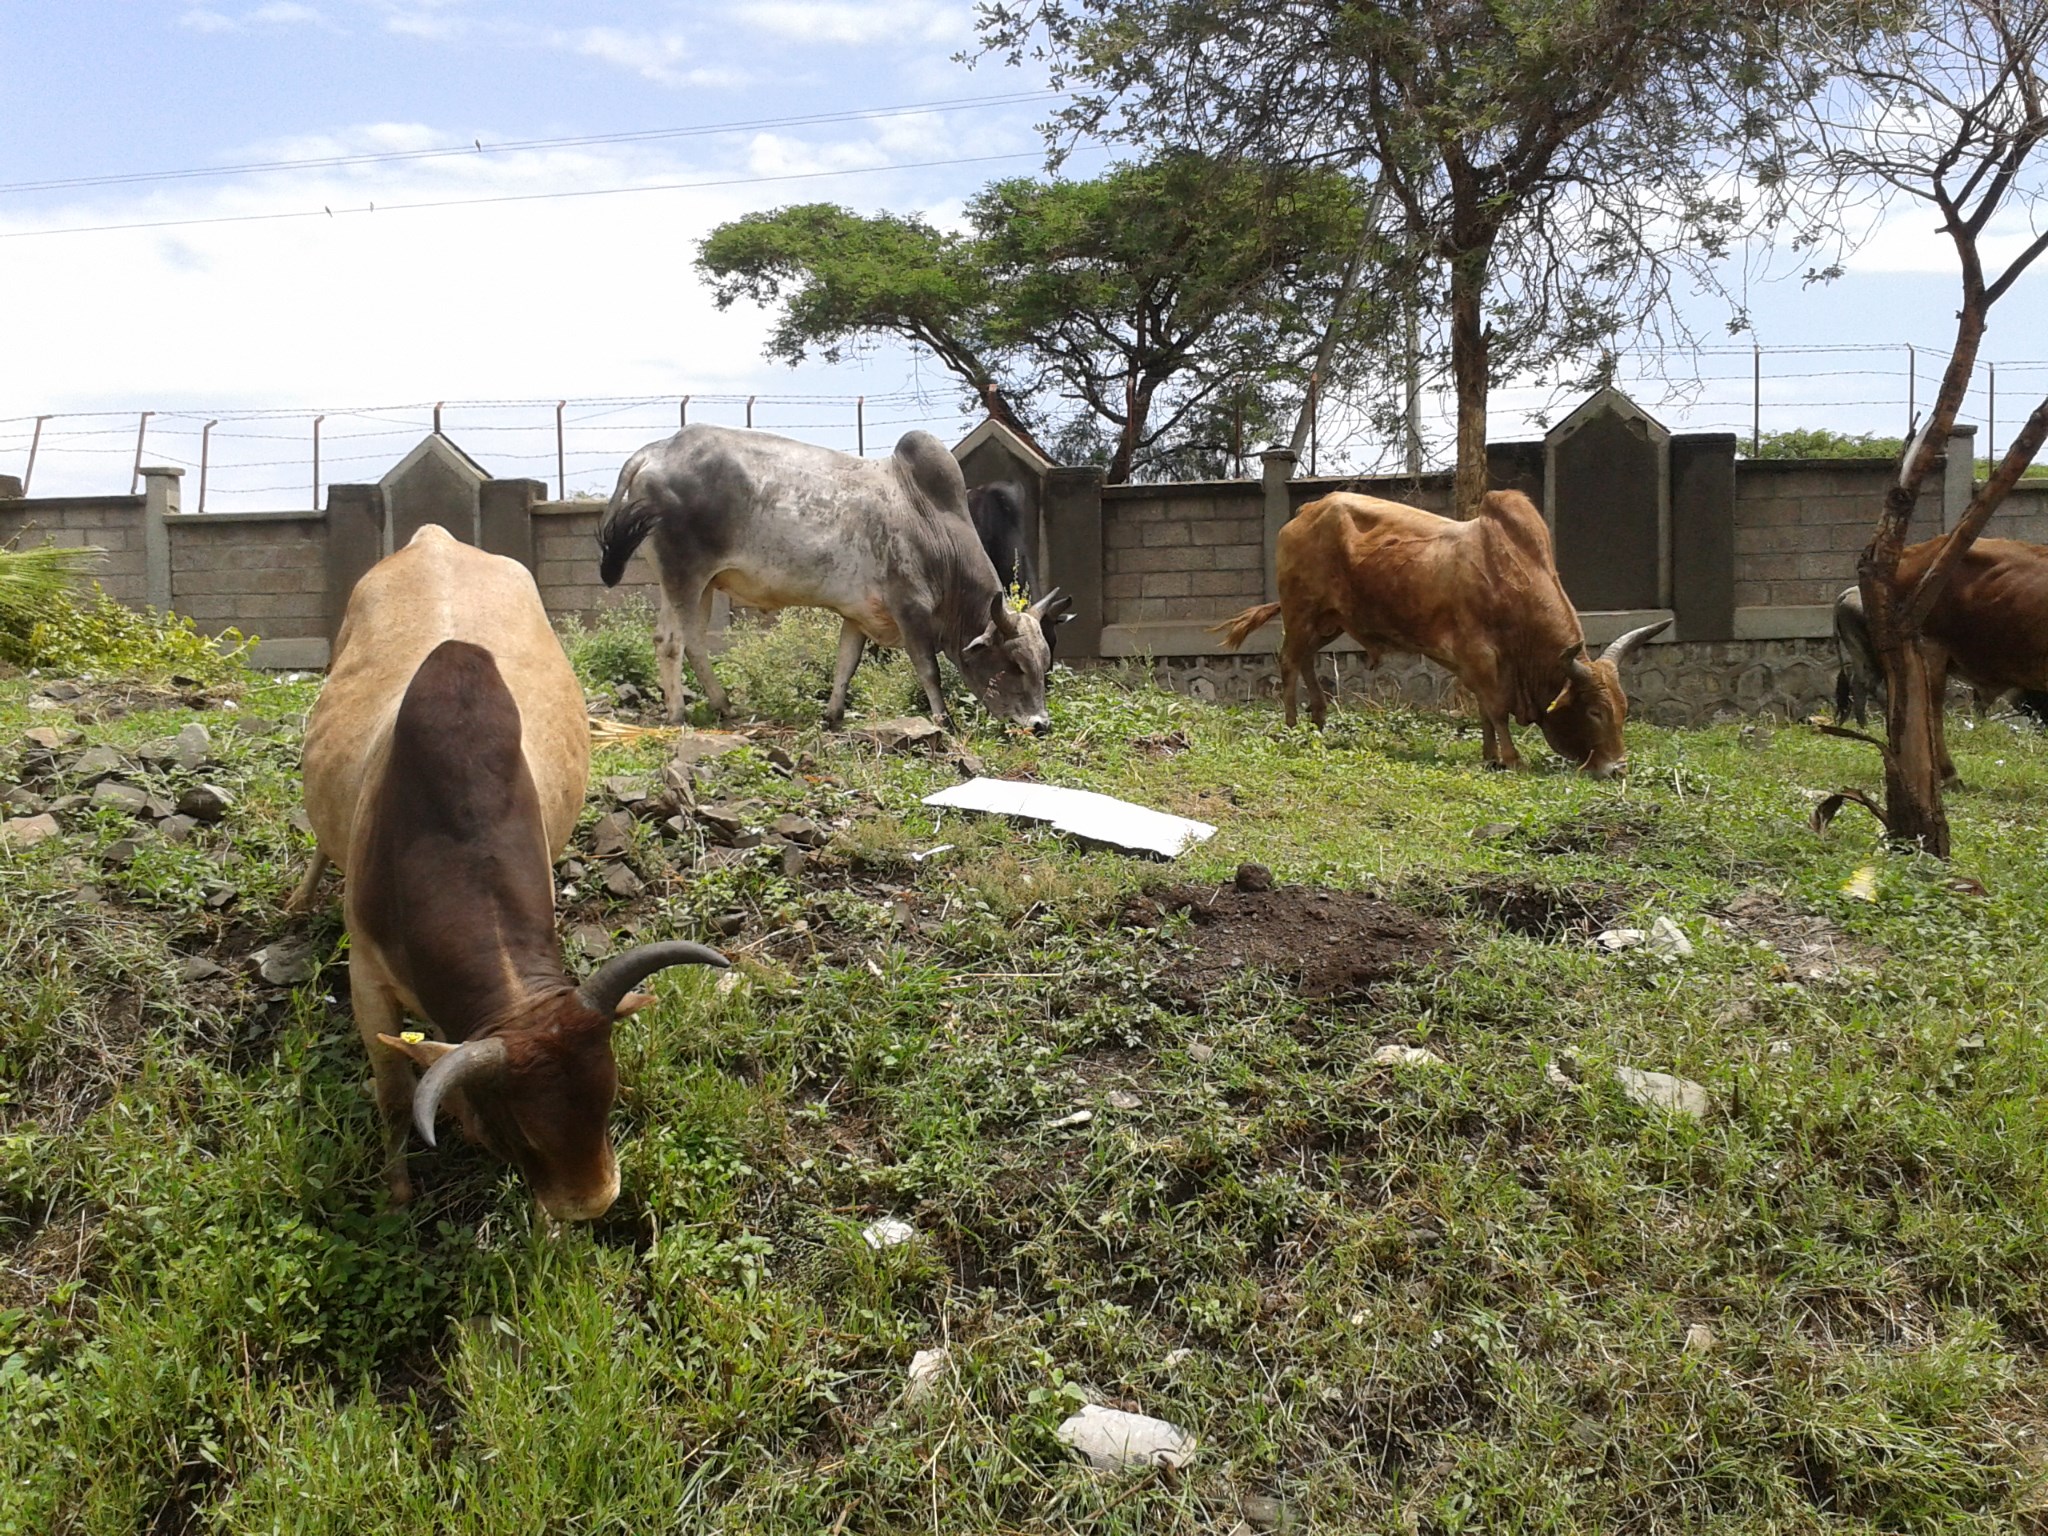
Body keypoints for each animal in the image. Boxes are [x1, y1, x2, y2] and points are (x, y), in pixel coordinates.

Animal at [294, 528, 729, 1228]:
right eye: (518, 1129)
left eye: (608, 1097)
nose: (592, 1205)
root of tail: (432, 537)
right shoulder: (366, 977)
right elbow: (393, 1091)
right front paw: (397, 1191)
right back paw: (298, 900)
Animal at [598, 423, 1073, 737]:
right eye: (1013, 664)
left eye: (1044, 663)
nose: (1040, 724)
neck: (931, 523)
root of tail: (656, 450)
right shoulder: (911, 612)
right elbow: (929, 670)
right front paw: (944, 721)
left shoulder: (857, 616)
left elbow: (846, 665)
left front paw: (832, 715)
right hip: (683, 574)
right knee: (670, 641)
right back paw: (677, 714)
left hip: (703, 584)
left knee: (694, 641)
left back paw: (723, 705)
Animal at [1212, 493, 1662, 782]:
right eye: (1594, 711)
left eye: (1624, 710)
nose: (1617, 769)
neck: (1508, 577)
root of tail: (1305, 512)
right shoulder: (1480, 656)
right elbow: (1496, 708)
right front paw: (1511, 759)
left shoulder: (1479, 664)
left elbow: (1484, 710)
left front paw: (1490, 756)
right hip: (1302, 612)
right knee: (1288, 661)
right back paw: (1292, 726)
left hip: (1328, 621)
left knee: (1304, 658)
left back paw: (1319, 719)